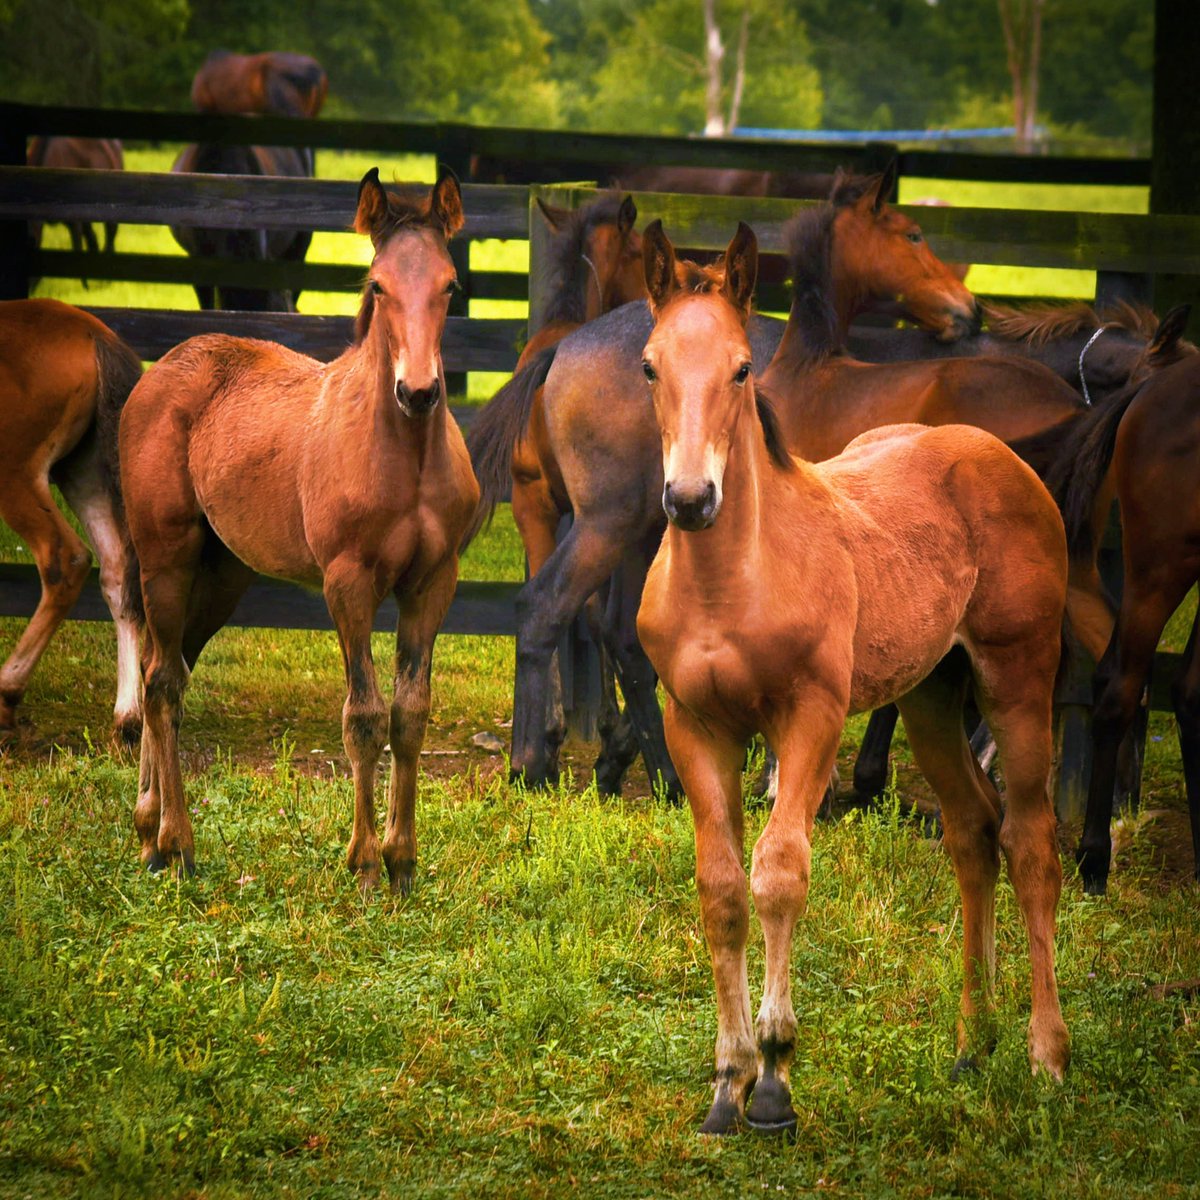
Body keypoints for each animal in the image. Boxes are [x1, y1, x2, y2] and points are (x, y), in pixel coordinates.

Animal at [0, 299, 143, 742]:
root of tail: (94, 334)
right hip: (85, 474)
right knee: (118, 573)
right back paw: (127, 718)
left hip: (17, 476)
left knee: (66, 558)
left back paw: (7, 693)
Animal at [119, 170, 479, 893]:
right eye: (377, 285)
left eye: (451, 285)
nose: (419, 392)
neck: (406, 457)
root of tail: (160, 371)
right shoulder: (348, 583)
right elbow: (363, 716)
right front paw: (364, 862)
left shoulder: (433, 583)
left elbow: (410, 713)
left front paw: (402, 861)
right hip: (165, 558)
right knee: (163, 684)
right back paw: (178, 844)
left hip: (221, 577)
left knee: (162, 670)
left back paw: (149, 832)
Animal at [636, 220, 1070, 1135]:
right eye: (650, 365)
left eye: (742, 367)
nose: (689, 500)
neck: (730, 584)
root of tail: (993, 449)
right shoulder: (695, 725)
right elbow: (721, 889)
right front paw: (725, 1084)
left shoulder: (813, 717)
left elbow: (779, 873)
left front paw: (773, 1078)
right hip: (931, 694)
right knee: (972, 832)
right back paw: (972, 1043)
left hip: (1019, 676)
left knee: (1030, 844)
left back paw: (1047, 1055)